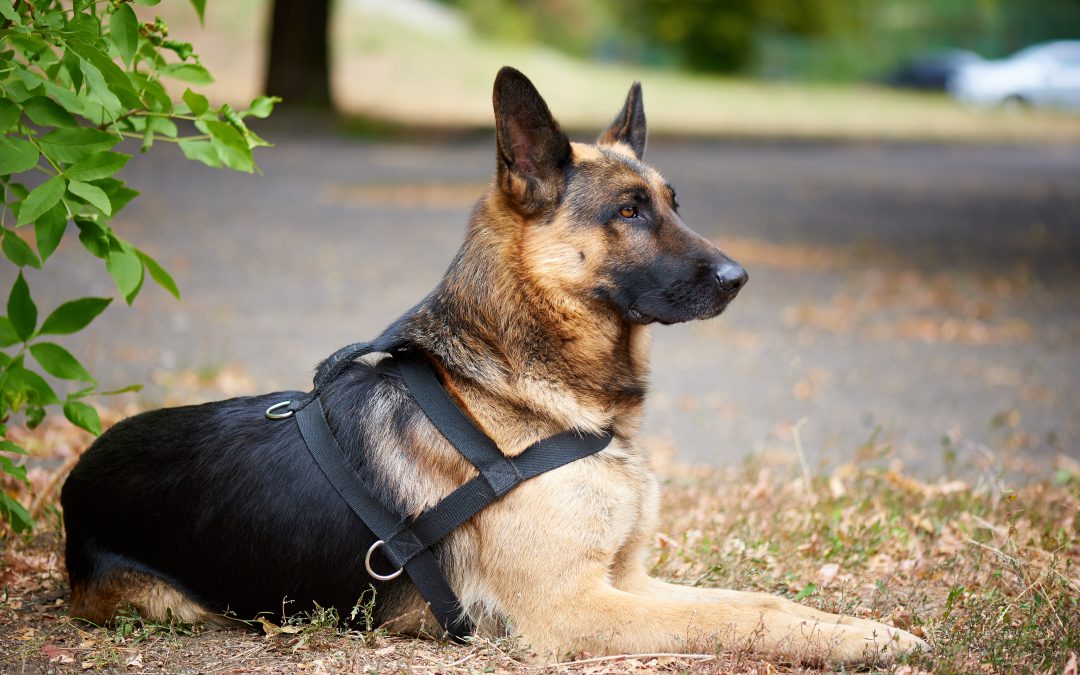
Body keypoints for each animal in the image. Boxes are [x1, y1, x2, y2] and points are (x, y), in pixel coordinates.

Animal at [63, 68, 928, 665]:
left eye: (673, 203)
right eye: (628, 212)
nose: (739, 277)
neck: (525, 393)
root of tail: (75, 478)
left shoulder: (628, 580)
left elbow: (761, 597)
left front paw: (860, 625)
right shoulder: (577, 608)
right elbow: (735, 617)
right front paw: (862, 643)